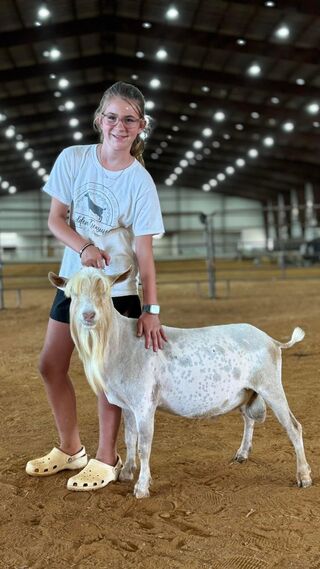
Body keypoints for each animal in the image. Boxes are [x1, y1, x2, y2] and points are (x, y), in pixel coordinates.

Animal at [49, 268, 312, 496]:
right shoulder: (127, 404)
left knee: (293, 427)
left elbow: (144, 445)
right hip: (246, 390)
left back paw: (304, 476)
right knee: (248, 418)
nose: (88, 315)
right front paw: (126, 472)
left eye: (104, 292)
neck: (122, 341)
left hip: (270, 385)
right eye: (71, 295)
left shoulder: (145, 403)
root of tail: (273, 341)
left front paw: (142, 487)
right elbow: (129, 438)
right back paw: (242, 454)